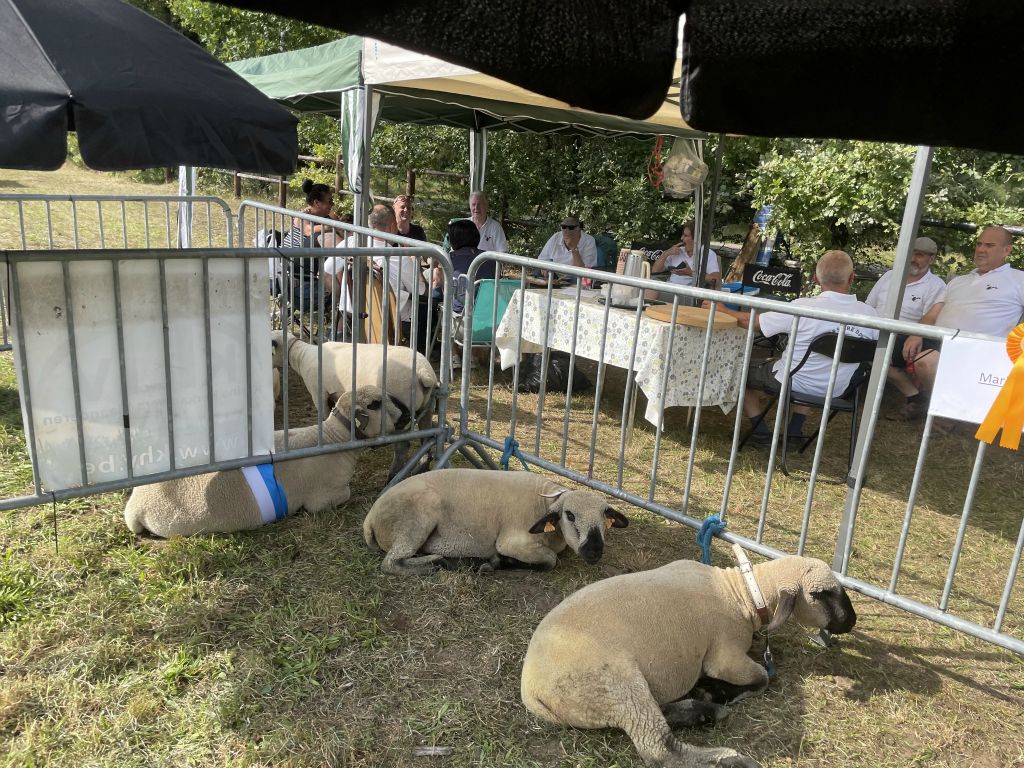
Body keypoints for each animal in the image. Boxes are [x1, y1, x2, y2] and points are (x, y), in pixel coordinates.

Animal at [123, 386, 402, 538]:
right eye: (376, 403)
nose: (406, 414)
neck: (335, 438)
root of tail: (134, 507)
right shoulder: (324, 497)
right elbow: (345, 495)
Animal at [271, 334, 438, 477]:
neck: (301, 357)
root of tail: (424, 373)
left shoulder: (319, 394)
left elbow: (324, 417)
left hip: (401, 414)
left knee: (403, 446)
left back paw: (393, 475)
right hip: (426, 409)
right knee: (426, 438)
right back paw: (421, 468)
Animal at [362, 468, 629, 575]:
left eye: (605, 516)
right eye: (570, 515)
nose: (594, 550)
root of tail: (370, 519)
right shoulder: (513, 541)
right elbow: (550, 561)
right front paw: (500, 563)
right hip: (417, 519)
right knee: (391, 563)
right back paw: (440, 563)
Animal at [520, 555, 857, 768]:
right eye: (821, 593)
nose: (853, 621)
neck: (741, 593)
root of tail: (532, 692)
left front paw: (712, 693)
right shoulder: (725, 654)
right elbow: (763, 677)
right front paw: (720, 690)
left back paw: (702, 711)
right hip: (612, 681)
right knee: (658, 747)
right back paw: (729, 758)